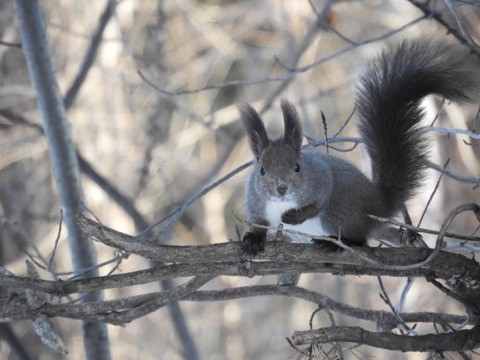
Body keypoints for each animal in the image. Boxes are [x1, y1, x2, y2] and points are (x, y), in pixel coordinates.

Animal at [239, 38, 476, 255]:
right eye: (261, 170)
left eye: (297, 167)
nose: (281, 188)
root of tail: (378, 205)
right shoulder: (255, 202)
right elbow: (258, 222)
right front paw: (254, 238)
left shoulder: (320, 178)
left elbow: (319, 201)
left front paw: (295, 215)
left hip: (339, 213)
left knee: (360, 240)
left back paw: (336, 243)